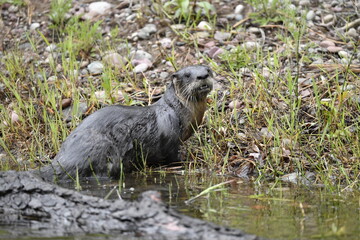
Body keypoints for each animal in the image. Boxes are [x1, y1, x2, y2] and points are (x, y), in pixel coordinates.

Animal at [38, 64, 214, 181]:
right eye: (187, 75)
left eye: (208, 70)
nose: (202, 76)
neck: (177, 110)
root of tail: (64, 159)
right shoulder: (170, 137)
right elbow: (172, 156)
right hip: (104, 151)